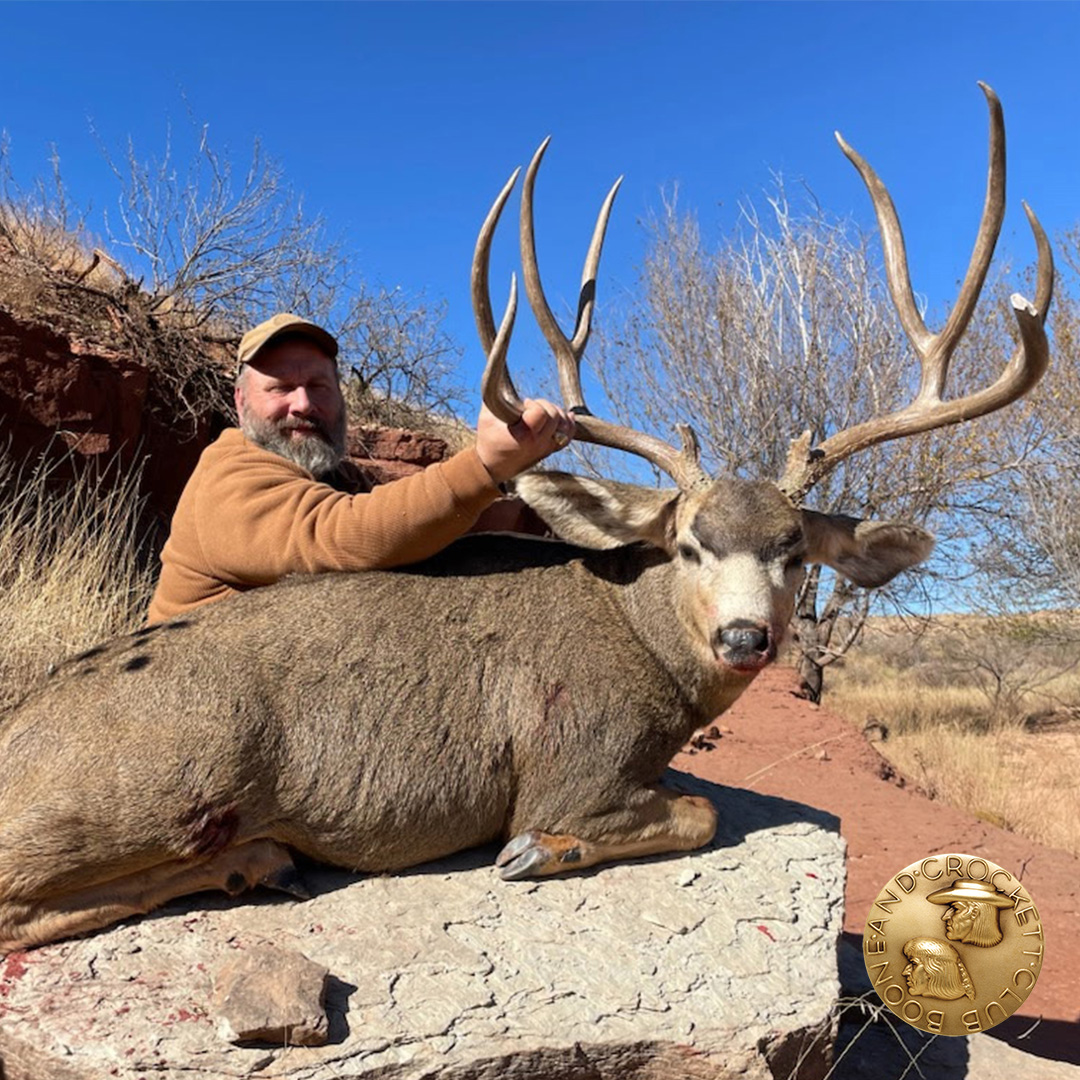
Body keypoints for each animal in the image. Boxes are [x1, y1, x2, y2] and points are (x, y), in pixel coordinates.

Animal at [0, 84, 1051, 953]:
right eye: (688, 544)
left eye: (796, 552)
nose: (747, 638)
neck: (641, 642)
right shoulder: (571, 766)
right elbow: (699, 813)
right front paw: (537, 852)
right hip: (160, 779)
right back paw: (248, 859)